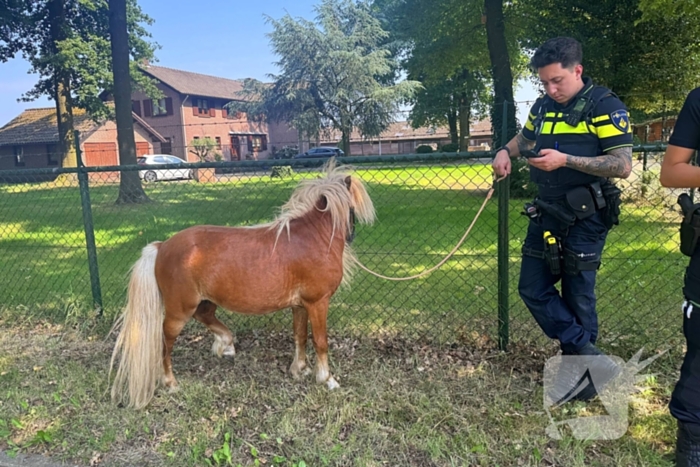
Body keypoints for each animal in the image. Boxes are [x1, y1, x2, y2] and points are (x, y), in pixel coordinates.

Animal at [109, 160, 376, 409]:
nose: (351, 236)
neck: (314, 238)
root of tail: (162, 246)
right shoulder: (318, 302)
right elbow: (320, 341)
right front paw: (327, 379)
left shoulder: (300, 305)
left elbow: (299, 336)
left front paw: (300, 369)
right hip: (179, 311)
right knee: (165, 342)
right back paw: (171, 382)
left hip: (205, 301)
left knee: (205, 316)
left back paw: (226, 344)